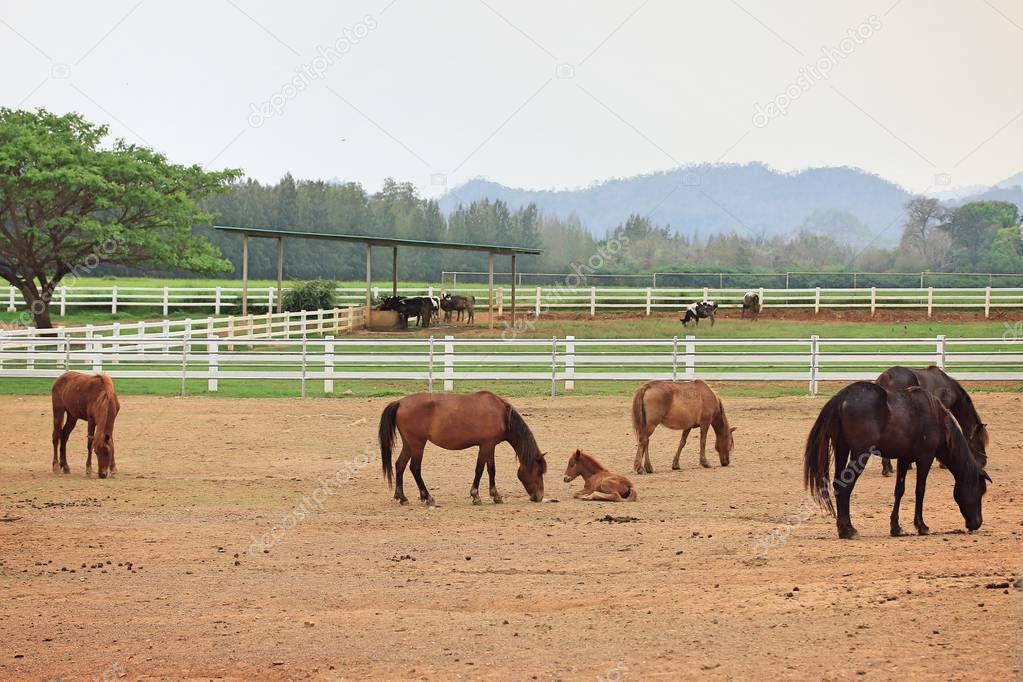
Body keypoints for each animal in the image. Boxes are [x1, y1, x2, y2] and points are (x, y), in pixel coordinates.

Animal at [380, 388, 548, 507]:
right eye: (539, 471)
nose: (539, 496)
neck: (501, 415)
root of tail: (400, 402)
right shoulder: (486, 445)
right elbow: (481, 469)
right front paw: (478, 496)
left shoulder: (489, 446)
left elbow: (490, 469)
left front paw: (494, 495)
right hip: (417, 445)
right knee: (415, 468)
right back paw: (427, 497)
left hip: (409, 444)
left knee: (400, 465)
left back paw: (402, 497)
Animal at [806, 384, 990, 539]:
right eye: (981, 491)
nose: (977, 523)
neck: (936, 418)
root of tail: (842, 396)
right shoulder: (925, 458)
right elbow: (920, 490)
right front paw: (921, 526)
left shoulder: (904, 459)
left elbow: (899, 491)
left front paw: (896, 528)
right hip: (859, 455)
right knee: (845, 488)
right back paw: (849, 530)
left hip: (841, 450)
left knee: (838, 485)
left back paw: (842, 529)